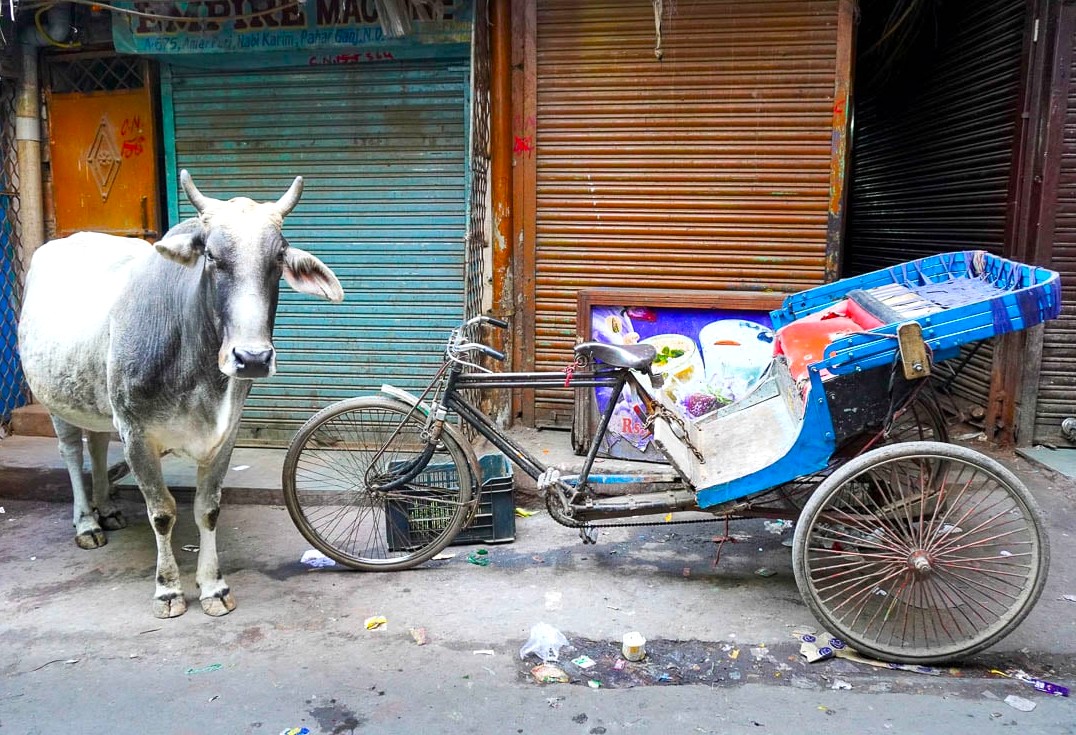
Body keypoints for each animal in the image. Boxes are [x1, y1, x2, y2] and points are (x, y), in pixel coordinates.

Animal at [17, 171, 343, 618]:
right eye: (212, 256)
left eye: (278, 258)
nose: (252, 358)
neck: (197, 370)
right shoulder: (136, 434)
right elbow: (162, 512)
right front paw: (168, 589)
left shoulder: (225, 434)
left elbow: (207, 509)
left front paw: (214, 587)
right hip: (55, 401)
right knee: (71, 452)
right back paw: (86, 522)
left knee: (97, 446)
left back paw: (108, 508)